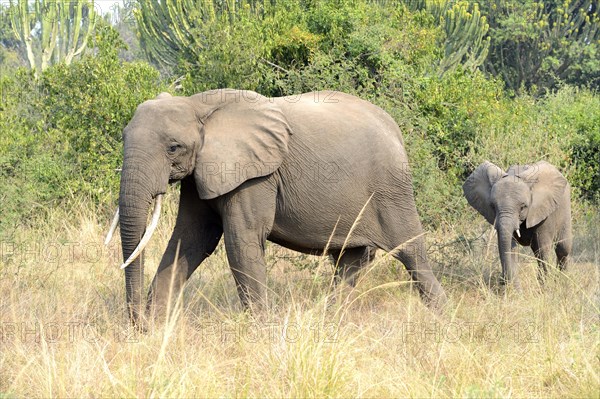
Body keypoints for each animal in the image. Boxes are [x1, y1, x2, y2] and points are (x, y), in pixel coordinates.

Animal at [109, 88, 446, 324]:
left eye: (173, 147)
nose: (137, 323)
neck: (198, 104)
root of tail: (395, 128)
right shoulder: (203, 171)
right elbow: (191, 239)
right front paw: (155, 329)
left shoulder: (256, 175)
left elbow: (241, 240)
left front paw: (260, 332)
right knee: (350, 261)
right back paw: (331, 322)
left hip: (391, 189)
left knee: (412, 253)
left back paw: (445, 323)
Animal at [464, 161, 572, 290]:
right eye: (493, 206)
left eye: (523, 207)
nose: (502, 281)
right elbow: (509, 249)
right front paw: (516, 292)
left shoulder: (545, 213)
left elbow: (543, 249)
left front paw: (546, 290)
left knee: (562, 248)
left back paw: (563, 284)